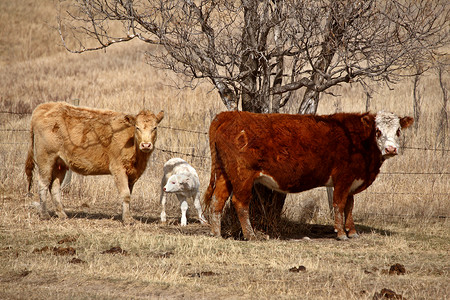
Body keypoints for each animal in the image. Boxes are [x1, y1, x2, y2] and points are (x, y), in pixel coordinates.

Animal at [25, 102, 164, 224]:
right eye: (137, 127)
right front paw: (127, 220)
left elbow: (129, 194)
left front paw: (127, 216)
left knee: (54, 187)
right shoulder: (118, 168)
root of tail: (43, 107)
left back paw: (62, 214)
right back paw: (44, 215)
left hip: (60, 164)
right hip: (46, 158)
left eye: (155, 127)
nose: (146, 145)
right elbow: (125, 194)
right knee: (43, 183)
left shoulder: (132, 173)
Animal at [206, 111, 414, 240]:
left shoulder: (352, 181)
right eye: (378, 131)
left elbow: (349, 206)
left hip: (225, 174)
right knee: (240, 203)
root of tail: (230, 114)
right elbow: (339, 205)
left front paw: (352, 232)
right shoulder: (343, 178)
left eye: (398, 131)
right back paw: (251, 235)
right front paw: (341, 234)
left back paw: (216, 233)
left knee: (217, 200)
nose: (391, 149)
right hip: (243, 176)